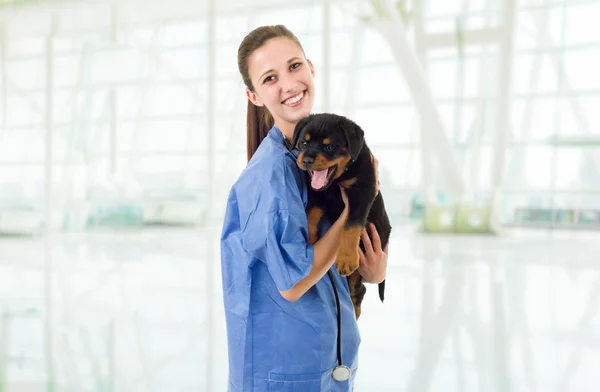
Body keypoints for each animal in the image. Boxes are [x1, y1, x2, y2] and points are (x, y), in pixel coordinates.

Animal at [288, 112, 392, 318]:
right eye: (304, 143)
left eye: (328, 147)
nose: (307, 160)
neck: (339, 179)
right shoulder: (318, 194)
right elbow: (310, 215)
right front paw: (310, 240)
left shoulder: (362, 193)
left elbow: (351, 226)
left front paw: (346, 258)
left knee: (358, 290)